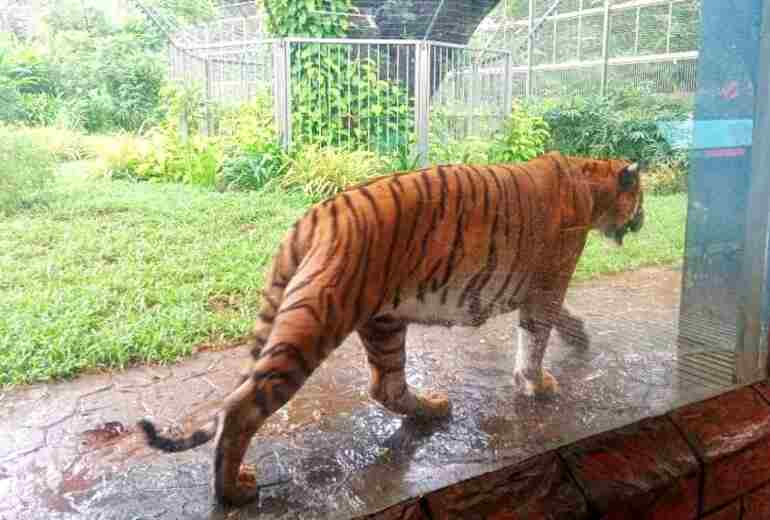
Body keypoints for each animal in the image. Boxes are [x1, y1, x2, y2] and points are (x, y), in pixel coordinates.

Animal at [138, 149, 640, 504]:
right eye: (641, 199)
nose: (643, 219)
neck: (589, 177)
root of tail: (314, 214)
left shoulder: (544, 289)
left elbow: (560, 320)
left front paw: (578, 339)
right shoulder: (549, 282)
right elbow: (535, 339)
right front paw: (537, 384)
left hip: (384, 321)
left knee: (387, 387)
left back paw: (433, 409)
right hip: (315, 322)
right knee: (244, 406)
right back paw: (233, 492)